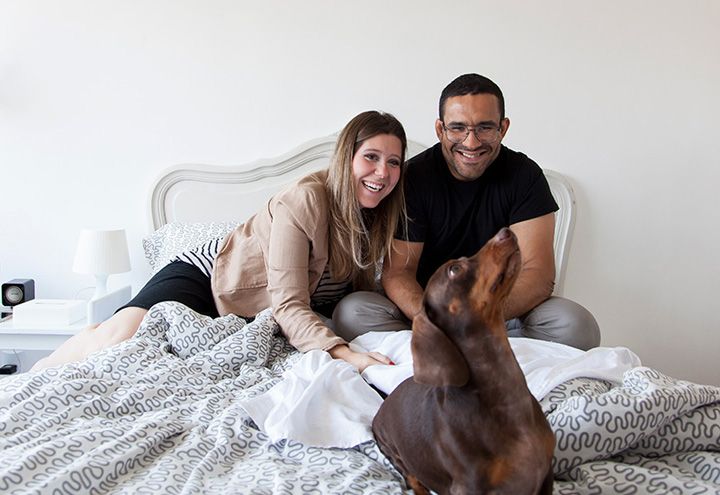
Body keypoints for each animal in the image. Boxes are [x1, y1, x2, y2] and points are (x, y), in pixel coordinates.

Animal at [372, 228, 555, 494]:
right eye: (455, 269)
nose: (505, 232)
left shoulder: (546, 474)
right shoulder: (468, 486)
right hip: (392, 449)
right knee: (412, 477)